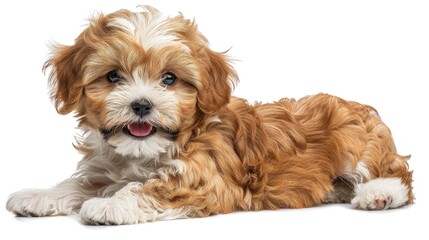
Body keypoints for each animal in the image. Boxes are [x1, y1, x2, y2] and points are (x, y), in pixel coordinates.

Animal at [5, 6, 412, 225]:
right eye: (113, 77)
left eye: (170, 79)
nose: (141, 105)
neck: (147, 153)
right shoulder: (106, 168)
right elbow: (76, 184)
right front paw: (36, 196)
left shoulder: (206, 180)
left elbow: (147, 188)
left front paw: (108, 205)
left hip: (357, 143)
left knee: (400, 175)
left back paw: (379, 194)